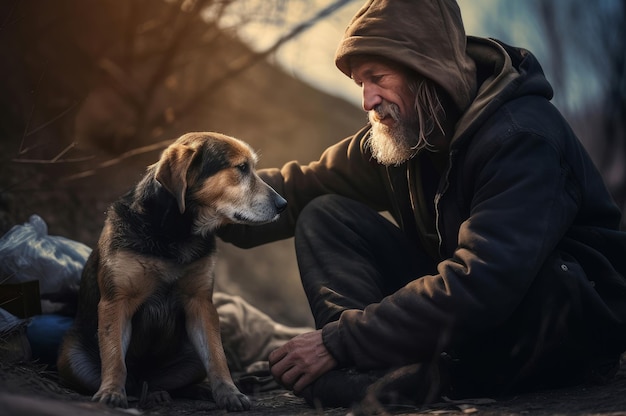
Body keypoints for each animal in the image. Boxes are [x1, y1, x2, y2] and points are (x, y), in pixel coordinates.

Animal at [56, 132, 286, 410]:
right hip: (69, 356)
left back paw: (181, 392)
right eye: (241, 168)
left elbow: (217, 359)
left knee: (171, 382)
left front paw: (229, 393)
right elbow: (115, 358)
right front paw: (111, 392)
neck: (176, 232)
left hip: (192, 357)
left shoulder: (201, 304)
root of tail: (143, 379)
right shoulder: (116, 301)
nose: (283, 204)